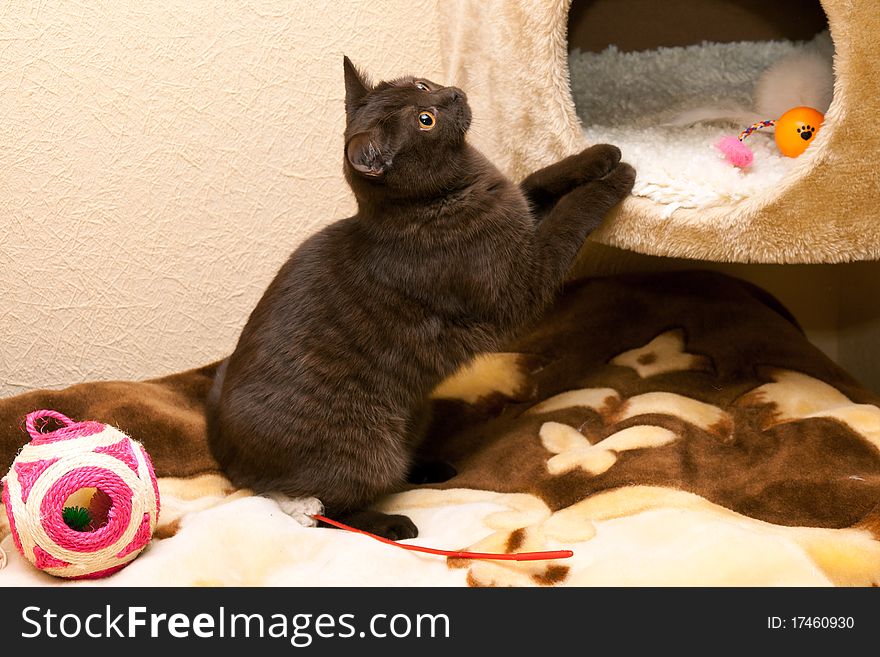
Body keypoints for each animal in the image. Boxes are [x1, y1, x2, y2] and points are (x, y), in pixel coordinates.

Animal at [206, 56, 632, 540]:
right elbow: (567, 219)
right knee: (335, 512)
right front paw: (616, 178)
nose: (452, 94)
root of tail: (228, 459)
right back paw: (393, 524)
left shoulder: (519, 206)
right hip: (368, 451)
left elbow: (538, 180)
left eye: (421, 86)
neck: (454, 191)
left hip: (416, 413)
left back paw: (433, 467)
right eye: (426, 120)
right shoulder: (521, 280)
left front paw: (599, 155)